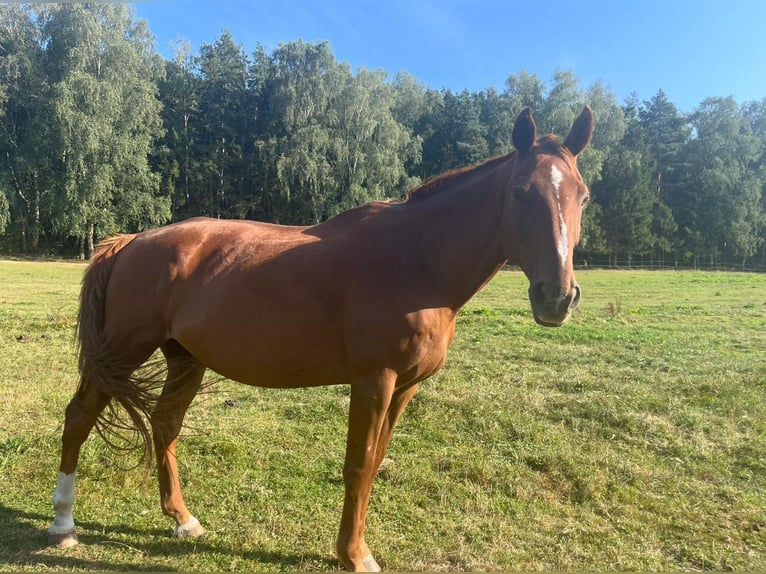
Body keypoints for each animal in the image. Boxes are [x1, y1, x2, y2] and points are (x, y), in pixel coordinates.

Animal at [51, 107, 596, 572]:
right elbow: (358, 465)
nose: (557, 297)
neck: (416, 261)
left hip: (185, 357)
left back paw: (183, 520)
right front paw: (354, 555)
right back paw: (63, 524)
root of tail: (130, 242)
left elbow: (374, 462)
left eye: (583, 194)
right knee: (79, 417)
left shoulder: (405, 386)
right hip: (123, 350)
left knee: (164, 424)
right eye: (521, 192)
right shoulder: (374, 380)